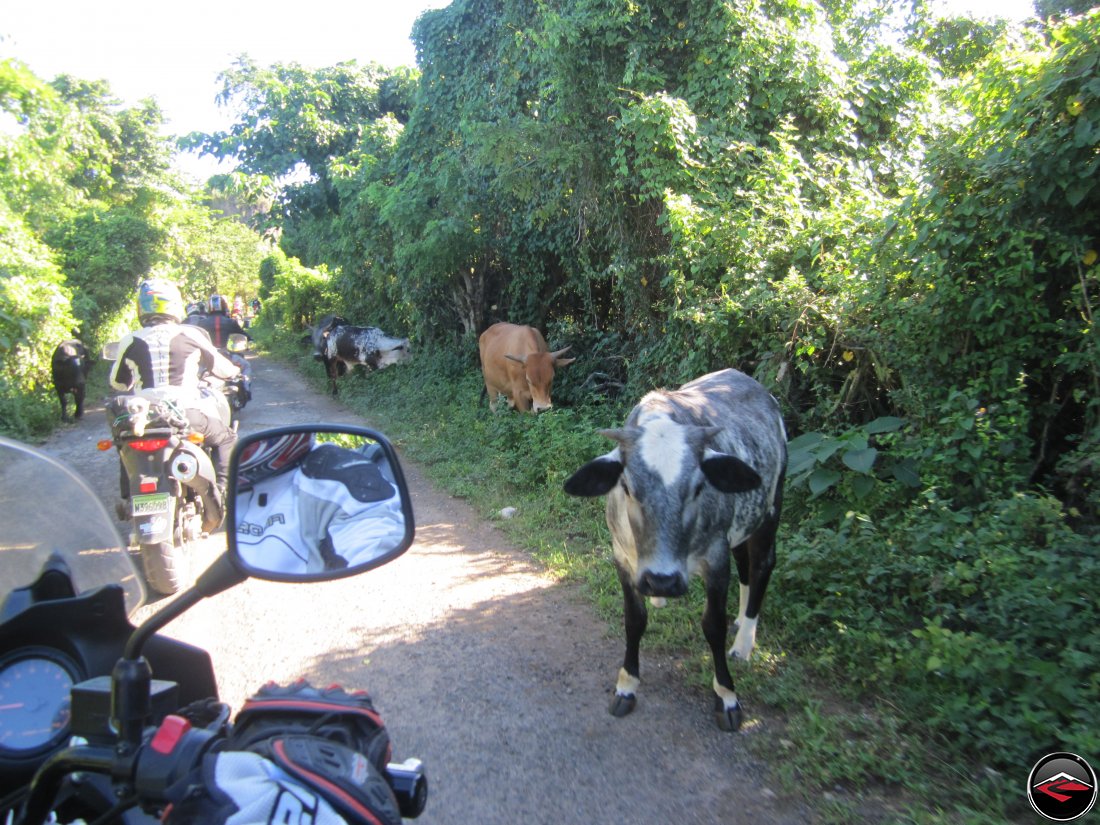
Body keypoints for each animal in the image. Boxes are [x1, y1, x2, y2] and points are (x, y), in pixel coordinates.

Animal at [563, 371, 787, 734]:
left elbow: (713, 626)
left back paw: (744, 642)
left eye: (698, 487)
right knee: (745, 564)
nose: (662, 582)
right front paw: (627, 686)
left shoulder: (716, 557)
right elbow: (634, 620)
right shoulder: (622, 558)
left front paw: (727, 697)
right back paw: (739, 619)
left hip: (770, 509)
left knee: (761, 565)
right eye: (626, 487)